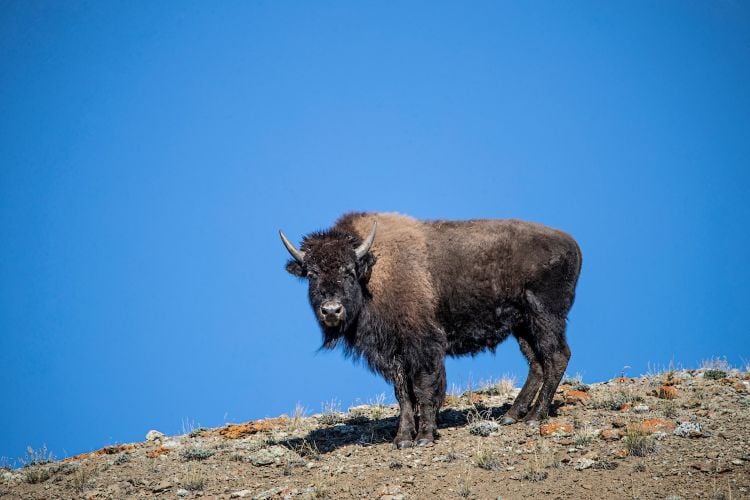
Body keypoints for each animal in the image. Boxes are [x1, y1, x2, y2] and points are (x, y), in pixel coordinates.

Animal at [280, 212, 582, 448]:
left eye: (348, 271)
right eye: (311, 274)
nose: (331, 310)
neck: (374, 273)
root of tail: (573, 245)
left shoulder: (423, 347)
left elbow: (424, 389)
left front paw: (424, 436)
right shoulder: (394, 355)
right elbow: (403, 396)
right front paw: (402, 439)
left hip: (544, 316)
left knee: (556, 357)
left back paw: (533, 418)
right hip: (522, 325)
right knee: (537, 363)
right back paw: (511, 415)